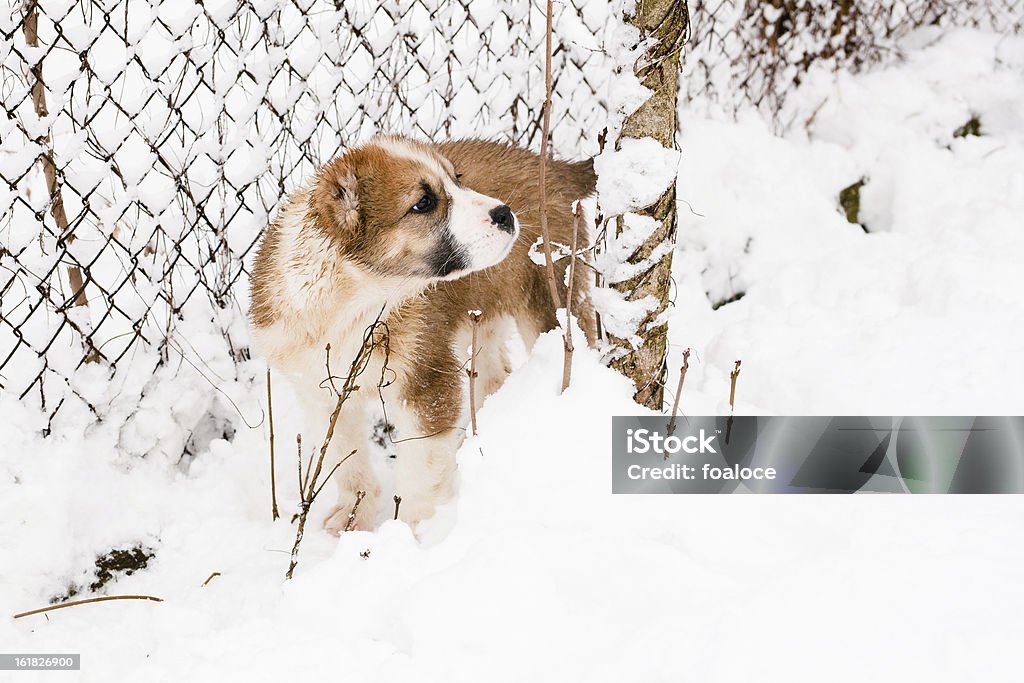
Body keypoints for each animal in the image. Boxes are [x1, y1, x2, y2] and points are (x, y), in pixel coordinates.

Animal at [250, 136, 598, 532]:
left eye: (457, 179)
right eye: (423, 203)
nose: (505, 214)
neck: (353, 303)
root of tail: (556, 168)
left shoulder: (427, 386)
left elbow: (419, 475)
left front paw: (409, 535)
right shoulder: (320, 390)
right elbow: (345, 458)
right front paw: (354, 516)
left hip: (549, 299)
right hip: (483, 313)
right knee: (493, 376)